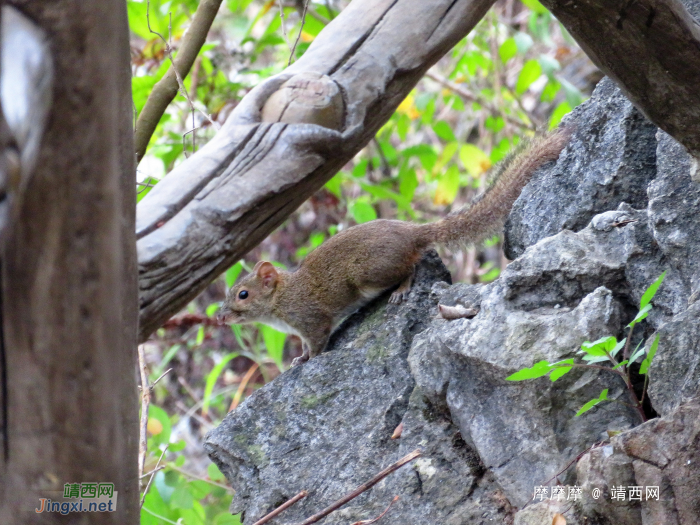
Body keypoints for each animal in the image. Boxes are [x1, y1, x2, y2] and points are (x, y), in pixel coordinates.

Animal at [221, 128, 572, 364]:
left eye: (243, 294)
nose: (221, 319)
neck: (282, 299)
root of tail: (411, 233)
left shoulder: (312, 319)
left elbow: (318, 342)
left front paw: (309, 360)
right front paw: (299, 358)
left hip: (368, 272)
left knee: (411, 266)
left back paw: (402, 289)